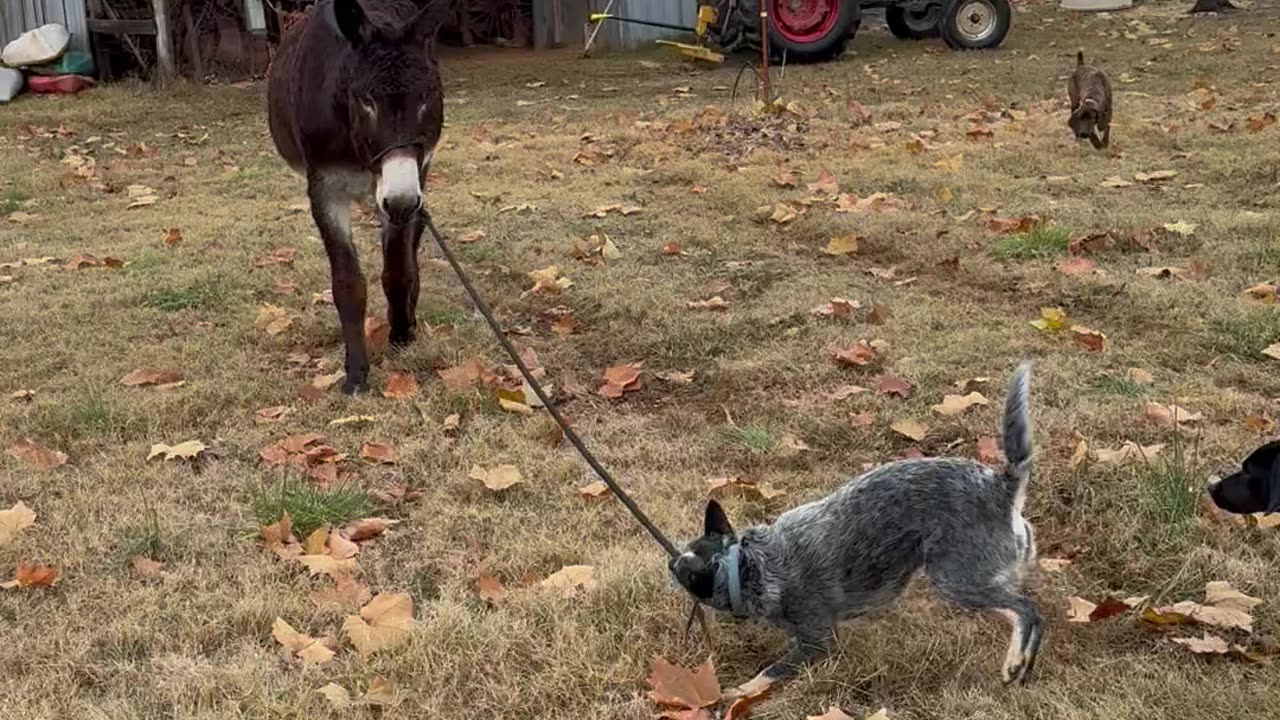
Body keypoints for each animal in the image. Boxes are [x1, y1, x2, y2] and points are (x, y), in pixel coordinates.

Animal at [670, 361, 1039, 696]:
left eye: (682, 572)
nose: (669, 561)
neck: (748, 564)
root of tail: (1001, 486)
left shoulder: (816, 639)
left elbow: (769, 672)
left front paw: (735, 693)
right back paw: (1022, 664)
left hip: (956, 580)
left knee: (1029, 612)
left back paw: (1015, 663)